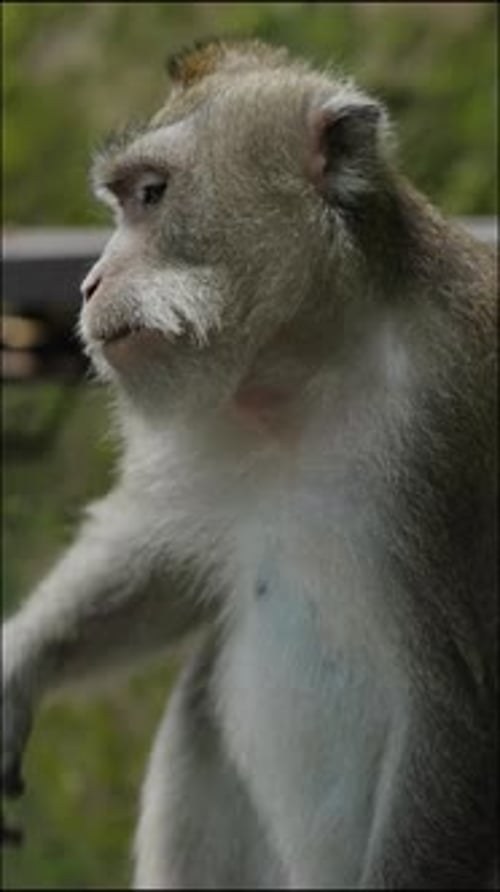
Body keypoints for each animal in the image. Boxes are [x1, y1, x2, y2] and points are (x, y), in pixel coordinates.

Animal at [1, 38, 497, 889]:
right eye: (124, 202)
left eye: (153, 195)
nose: (89, 283)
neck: (311, 373)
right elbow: (163, 558)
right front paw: (15, 668)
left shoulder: (453, 425)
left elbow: (457, 721)